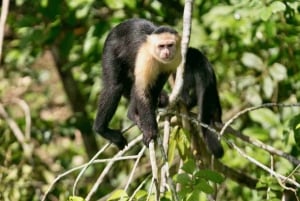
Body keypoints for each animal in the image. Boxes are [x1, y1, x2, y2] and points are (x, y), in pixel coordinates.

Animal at [94, 18, 182, 149]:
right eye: (161, 46)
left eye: (170, 45)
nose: (166, 53)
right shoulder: (146, 57)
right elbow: (142, 91)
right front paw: (150, 131)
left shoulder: (174, 59)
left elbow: (155, 85)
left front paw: (153, 104)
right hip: (110, 48)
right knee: (114, 87)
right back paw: (102, 129)